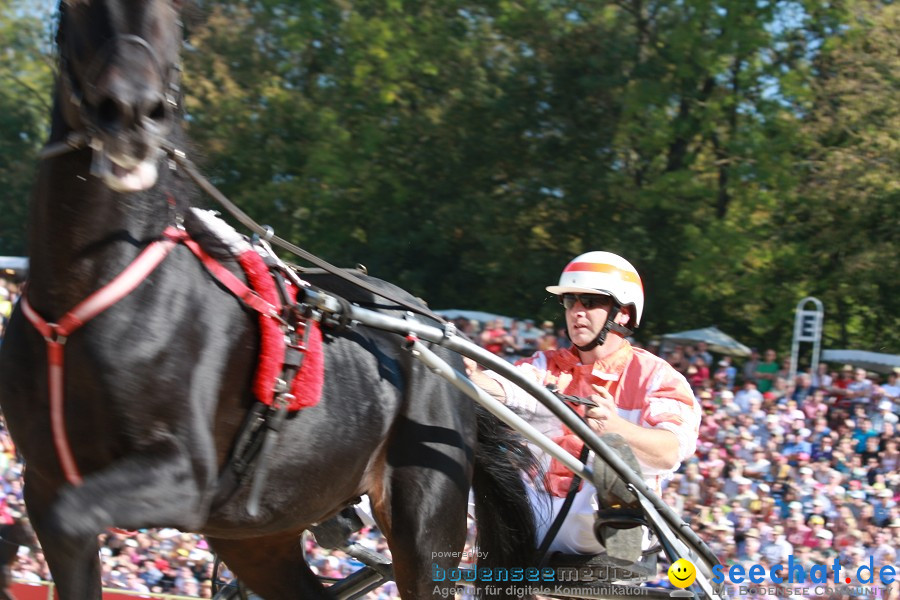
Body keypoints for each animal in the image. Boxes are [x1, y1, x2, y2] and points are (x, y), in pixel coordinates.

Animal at [0, 2, 536, 596]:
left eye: (175, 16)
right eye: (77, 9)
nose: (132, 113)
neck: (91, 289)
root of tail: (441, 337)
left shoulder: (184, 479)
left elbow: (75, 515)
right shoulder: (43, 481)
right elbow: (62, 527)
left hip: (426, 515)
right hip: (256, 530)